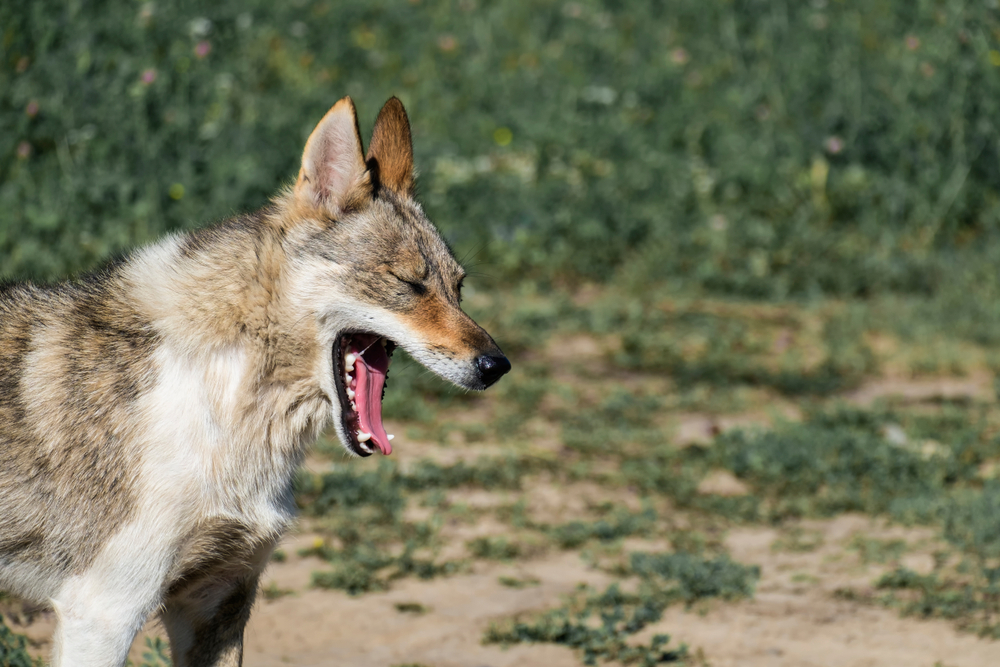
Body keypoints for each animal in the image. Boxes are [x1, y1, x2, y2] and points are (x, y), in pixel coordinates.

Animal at [0, 96, 512, 664]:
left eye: (458, 288)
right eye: (408, 283)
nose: (496, 365)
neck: (228, 404)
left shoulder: (217, 603)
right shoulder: (104, 613)